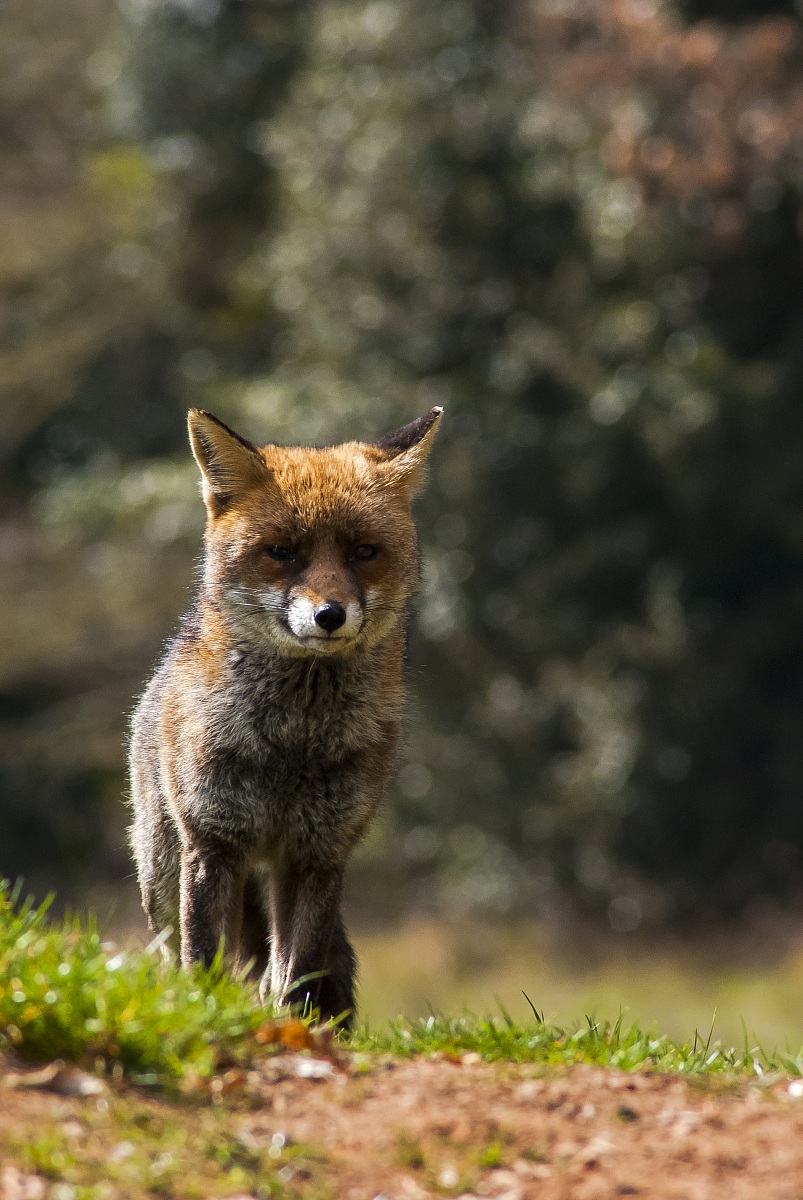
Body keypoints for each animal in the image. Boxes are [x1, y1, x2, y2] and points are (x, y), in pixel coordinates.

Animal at [128, 405, 442, 1028]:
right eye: (282, 551)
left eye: (363, 552)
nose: (330, 614)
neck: (293, 742)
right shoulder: (214, 841)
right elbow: (204, 962)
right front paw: (207, 1015)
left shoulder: (318, 853)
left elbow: (296, 976)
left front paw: (296, 1031)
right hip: (162, 870)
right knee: (177, 953)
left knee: (276, 965)